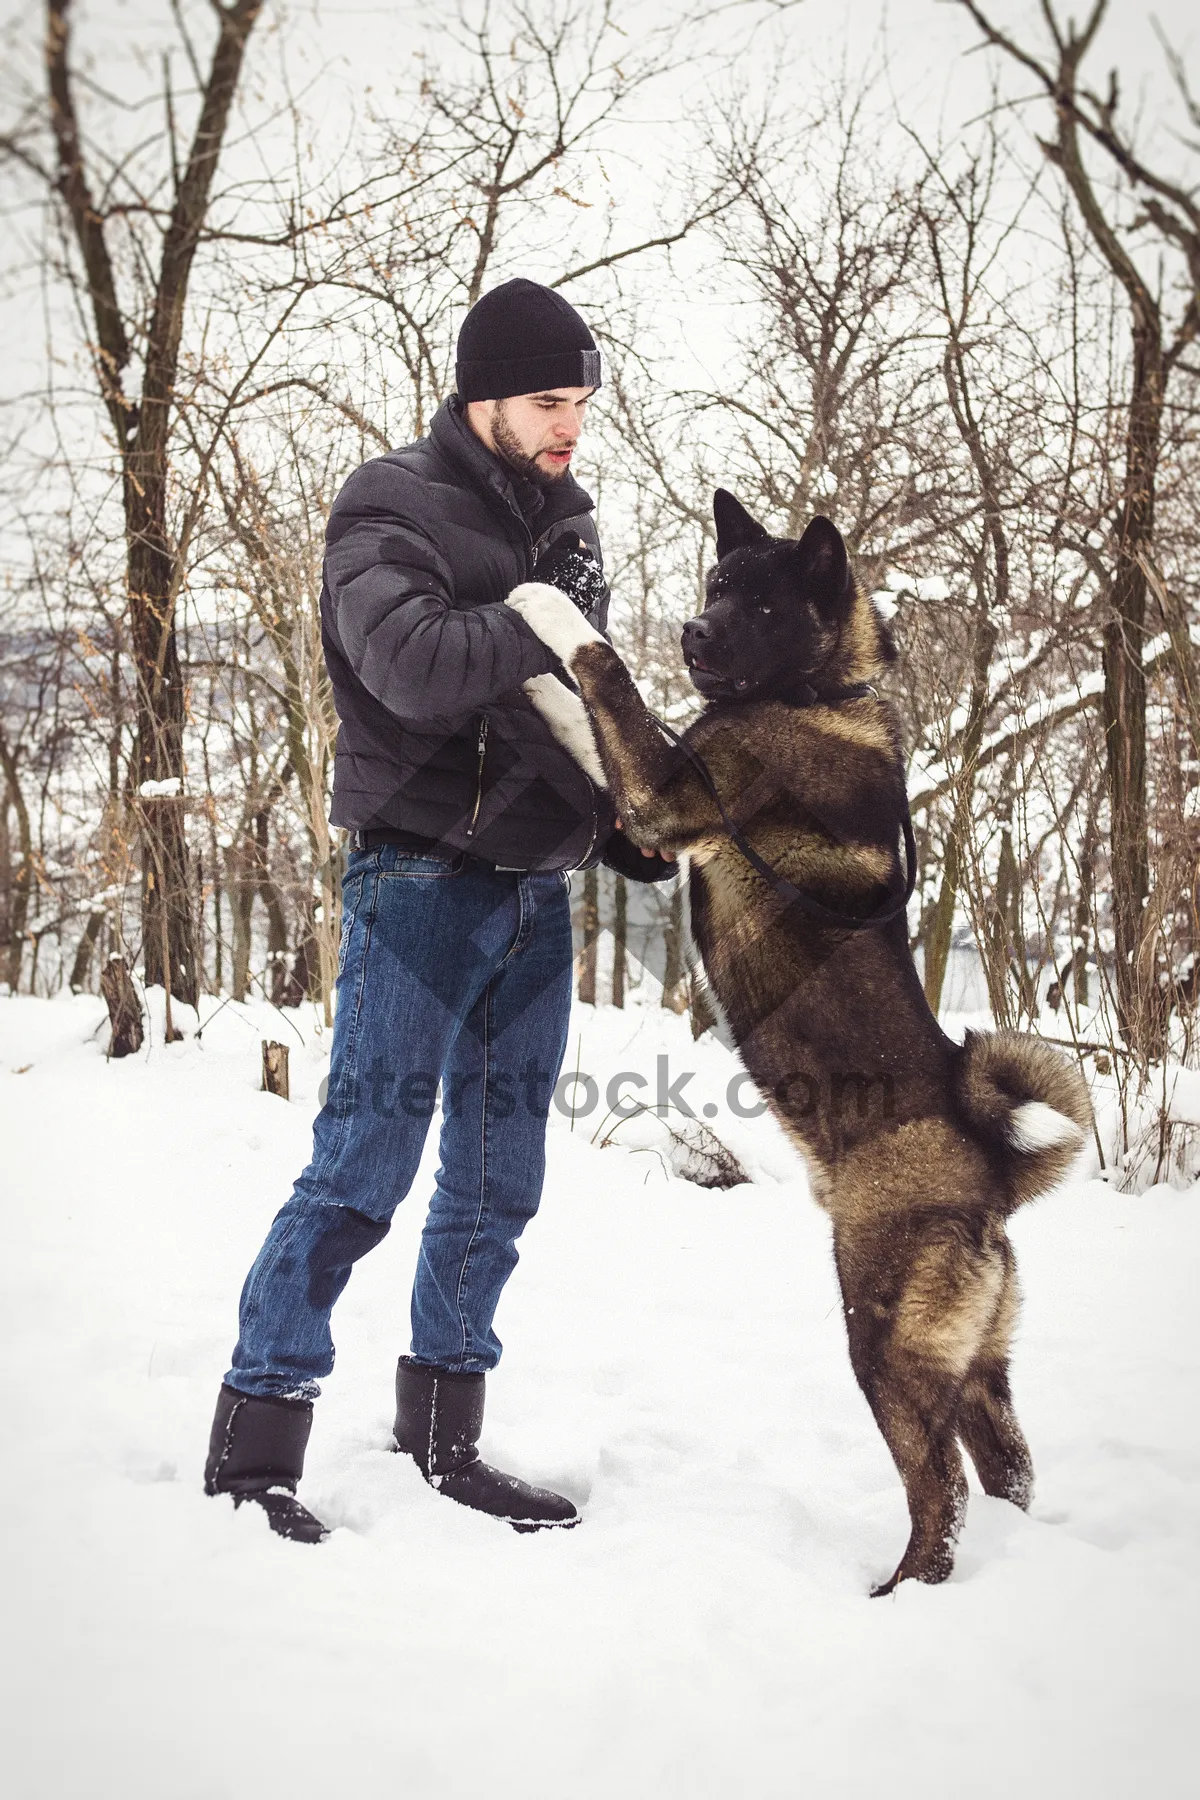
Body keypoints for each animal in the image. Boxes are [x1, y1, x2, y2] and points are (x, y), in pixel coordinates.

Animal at [510, 489, 1093, 1591]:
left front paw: (540, 628)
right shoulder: (656, 817)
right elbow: (594, 718)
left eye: (767, 606)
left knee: (940, 1490)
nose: (693, 634)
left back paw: (903, 1588)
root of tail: (993, 1173)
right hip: (977, 1366)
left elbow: (604, 678)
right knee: (1010, 1467)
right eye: (715, 585)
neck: (818, 694)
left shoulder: (670, 796)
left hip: (884, 1343)